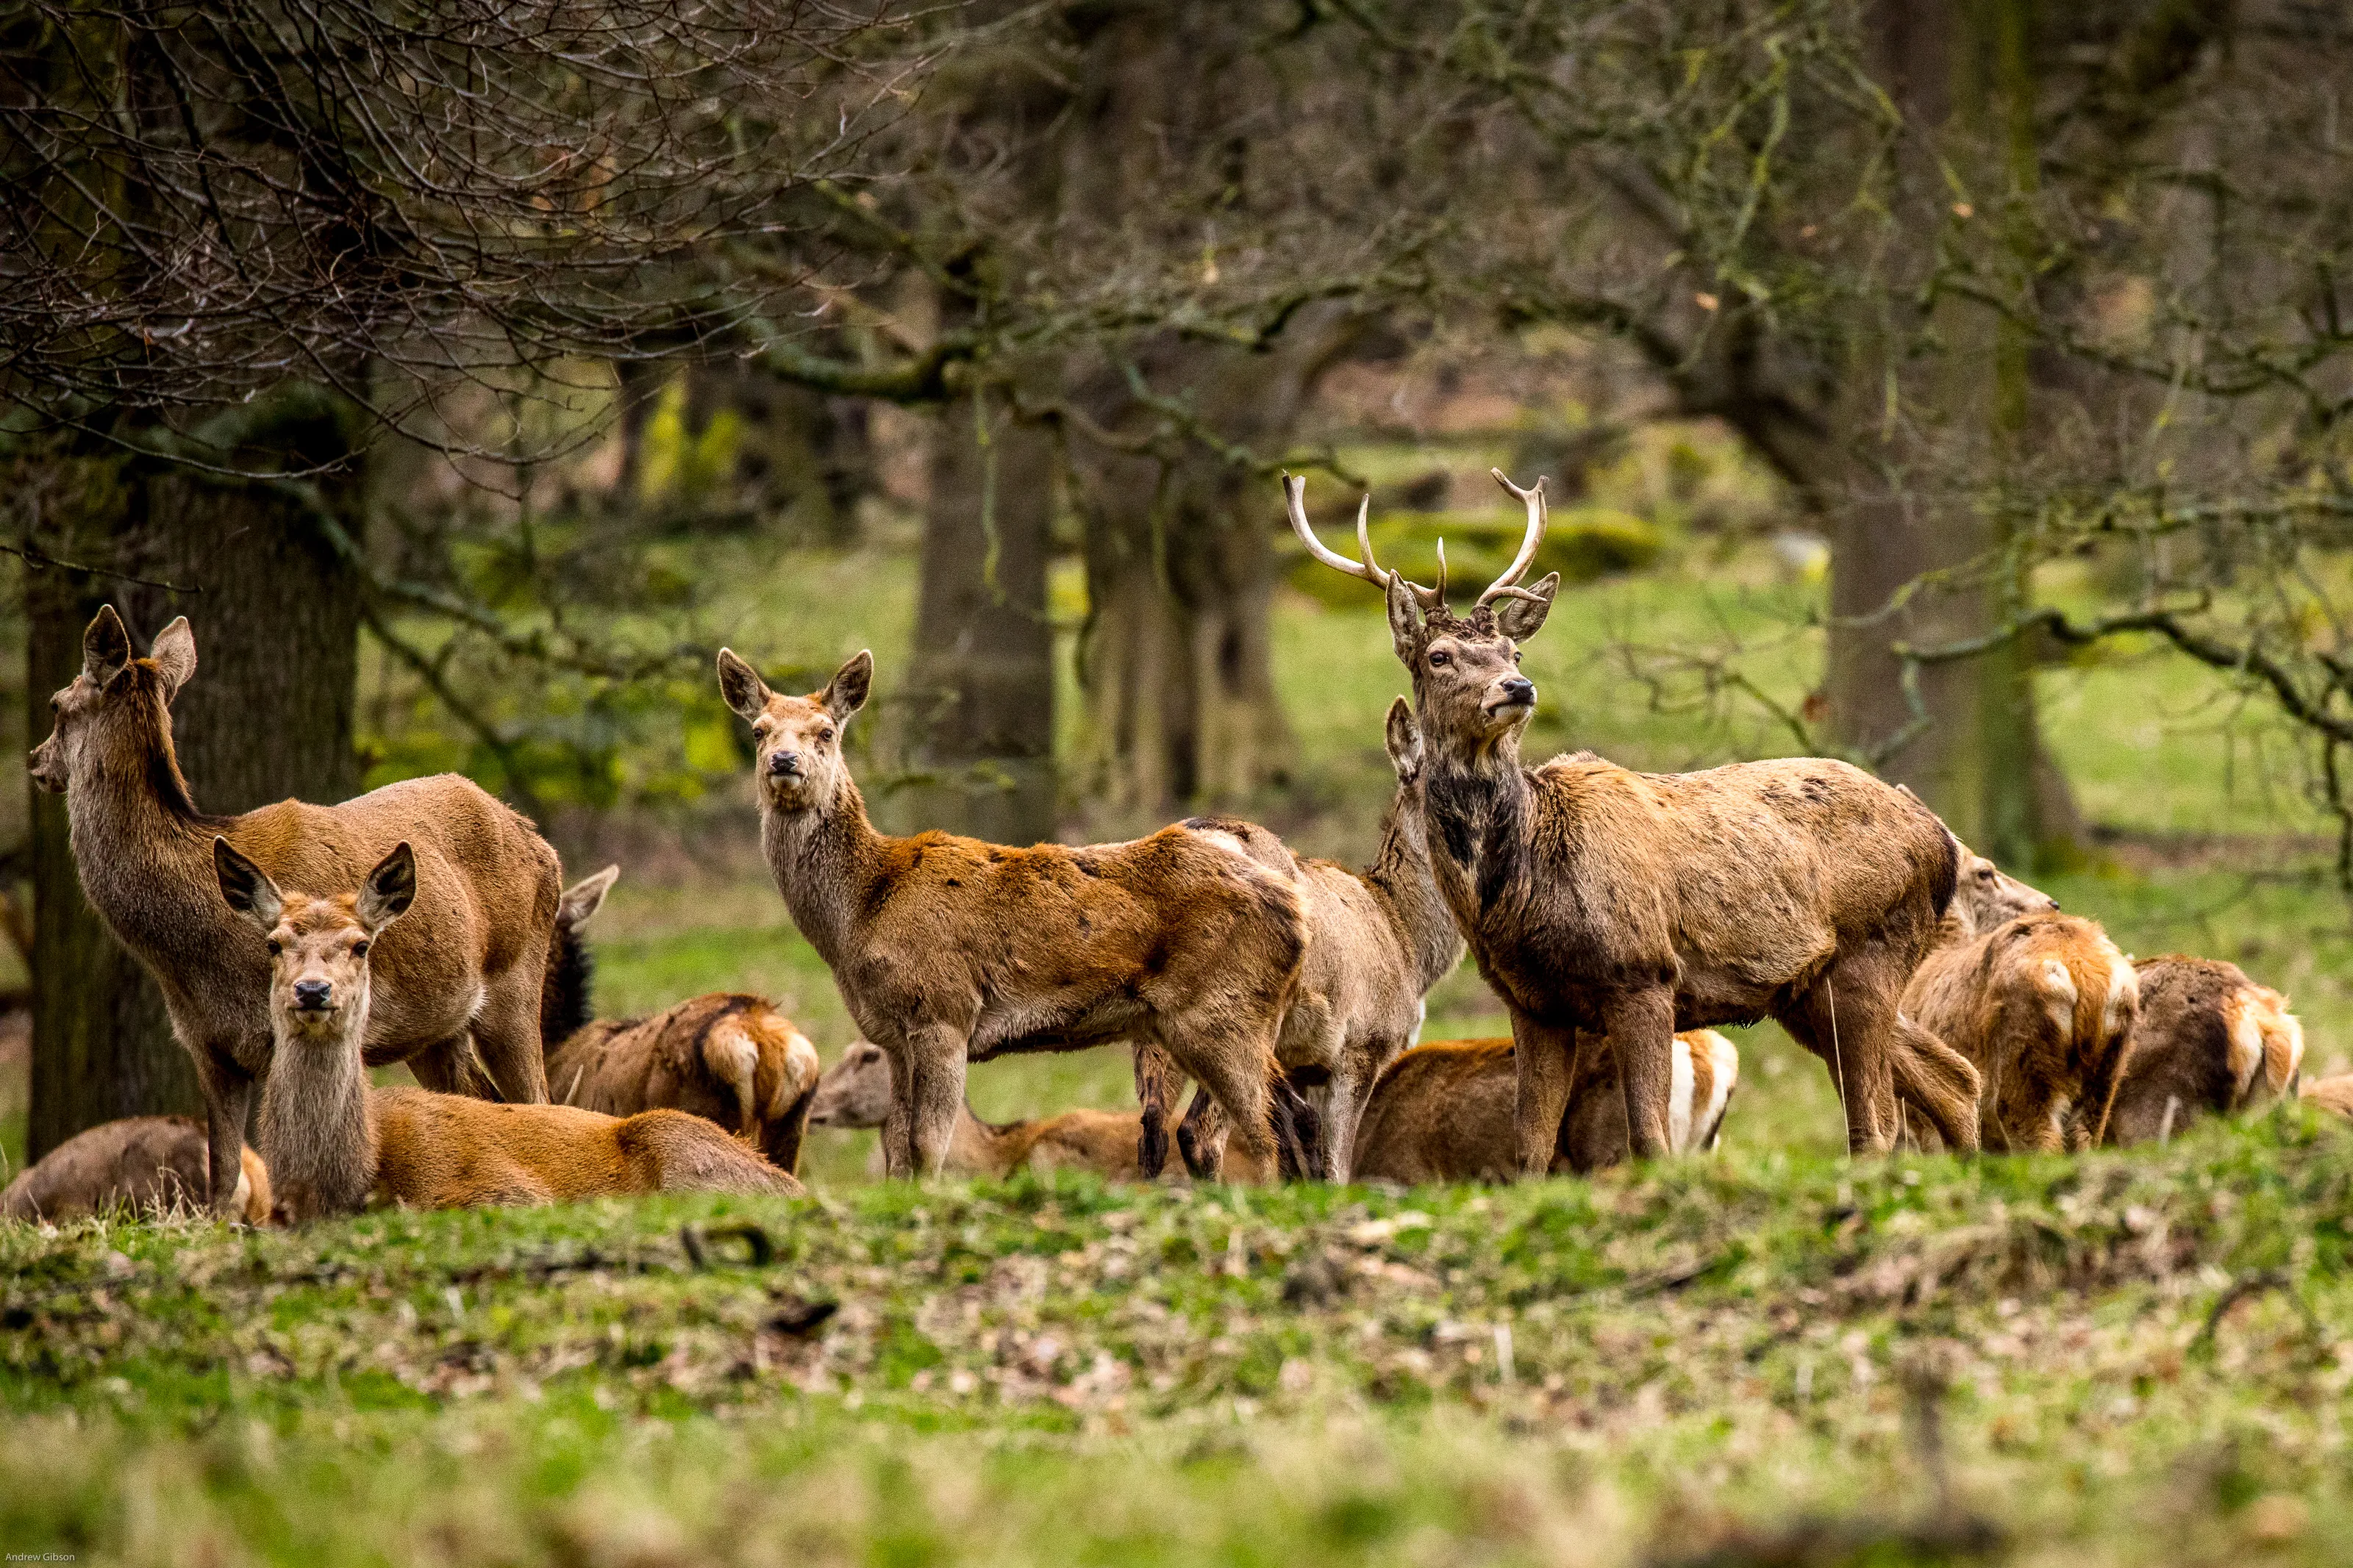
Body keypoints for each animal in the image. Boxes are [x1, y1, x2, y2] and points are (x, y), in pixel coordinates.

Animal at [28, 606, 563, 1213]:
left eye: (55, 703)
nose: (36, 761)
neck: (190, 953)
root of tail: (540, 840)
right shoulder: (209, 1047)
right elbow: (222, 1179)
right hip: (436, 1030)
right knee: (478, 1098)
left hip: (517, 981)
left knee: (539, 1098)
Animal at [1135, 696, 1465, 1181]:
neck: (1407, 943)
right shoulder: (1361, 1044)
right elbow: (1335, 1164)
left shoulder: (1305, 1063)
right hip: (1242, 1009)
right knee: (1201, 1133)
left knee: (1153, 1133)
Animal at [1286, 472, 1981, 1169]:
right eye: (1439, 655)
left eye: (1513, 649)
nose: (1517, 687)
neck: (1527, 874)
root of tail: (1942, 838)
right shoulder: (1531, 1002)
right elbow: (1529, 1151)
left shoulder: (1644, 972)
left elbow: (1649, 1140)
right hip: (1808, 989)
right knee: (1953, 1078)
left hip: (1870, 950)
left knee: (1877, 1124)